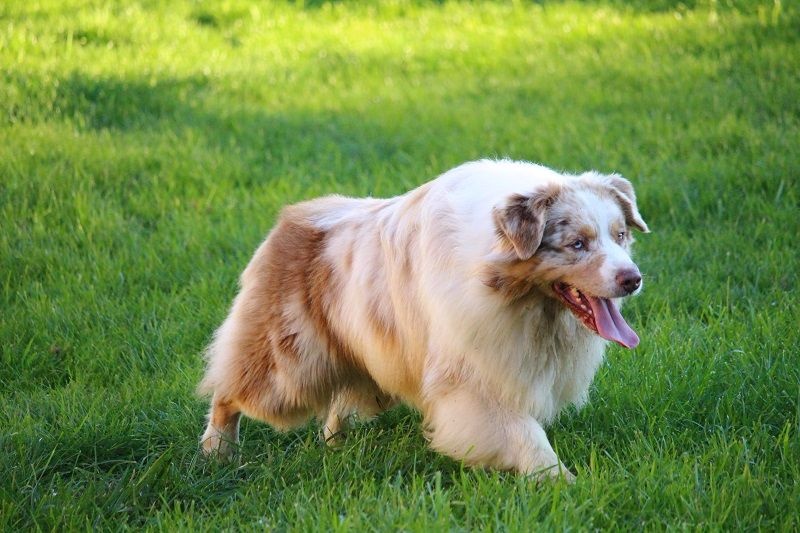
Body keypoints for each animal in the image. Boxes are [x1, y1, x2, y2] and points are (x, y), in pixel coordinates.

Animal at [197, 158, 648, 478]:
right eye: (577, 244)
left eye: (620, 235)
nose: (632, 279)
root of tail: (288, 219)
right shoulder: (473, 377)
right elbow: (523, 432)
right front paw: (559, 481)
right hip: (291, 361)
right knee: (231, 391)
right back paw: (217, 452)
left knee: (339, 402)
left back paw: (336, 447)